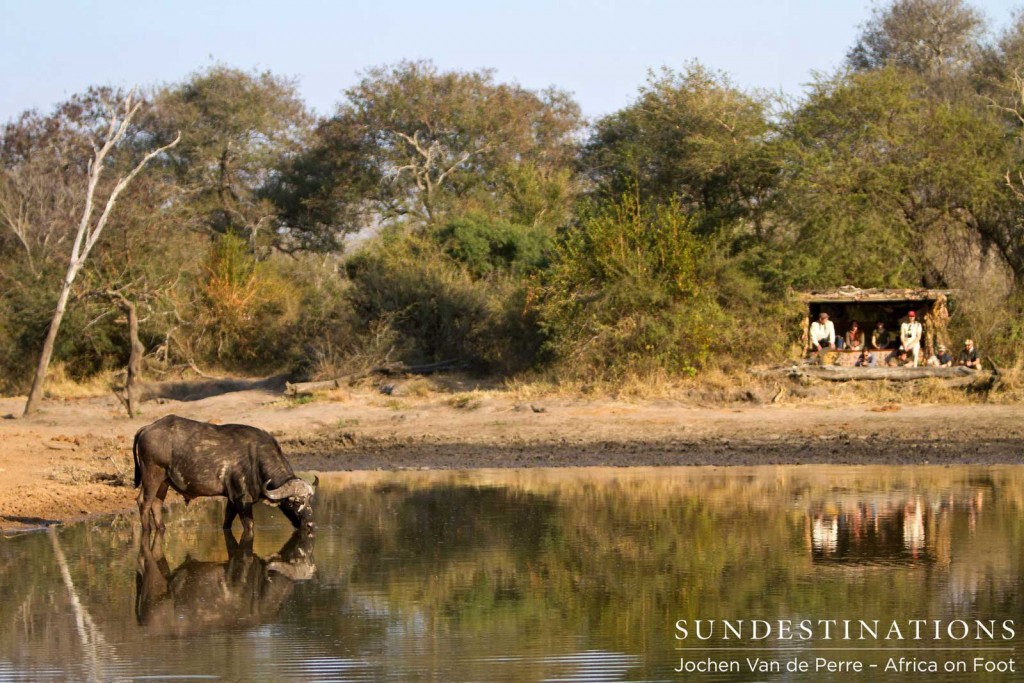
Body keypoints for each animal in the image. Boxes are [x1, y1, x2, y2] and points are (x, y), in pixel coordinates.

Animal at [133, 413, 315, 536]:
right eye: (294, 501)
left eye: (309, 500)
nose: (310, 525)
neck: (256, 459)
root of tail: (147, 428)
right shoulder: (243, 500)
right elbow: (249, 526)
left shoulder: (232, 499)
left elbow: (226, 522)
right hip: (152, 476)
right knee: (144, 502)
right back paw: (147, 530)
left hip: (163, 482)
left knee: (156, 504)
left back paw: (161, 528)